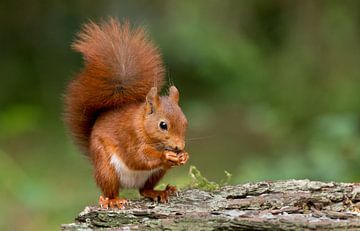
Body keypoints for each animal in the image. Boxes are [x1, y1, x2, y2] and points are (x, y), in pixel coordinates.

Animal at [64, 18, 188, 209]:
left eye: (185, 122)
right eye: (163, 125)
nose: (179, 147)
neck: (142, 124)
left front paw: (183, 156)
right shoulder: (130, 136)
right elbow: (137, 158)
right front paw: (166, 155)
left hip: (155, 174)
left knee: (144, 190)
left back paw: (160, 191)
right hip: (106, 167)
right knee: (110, 189)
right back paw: (113, 200)